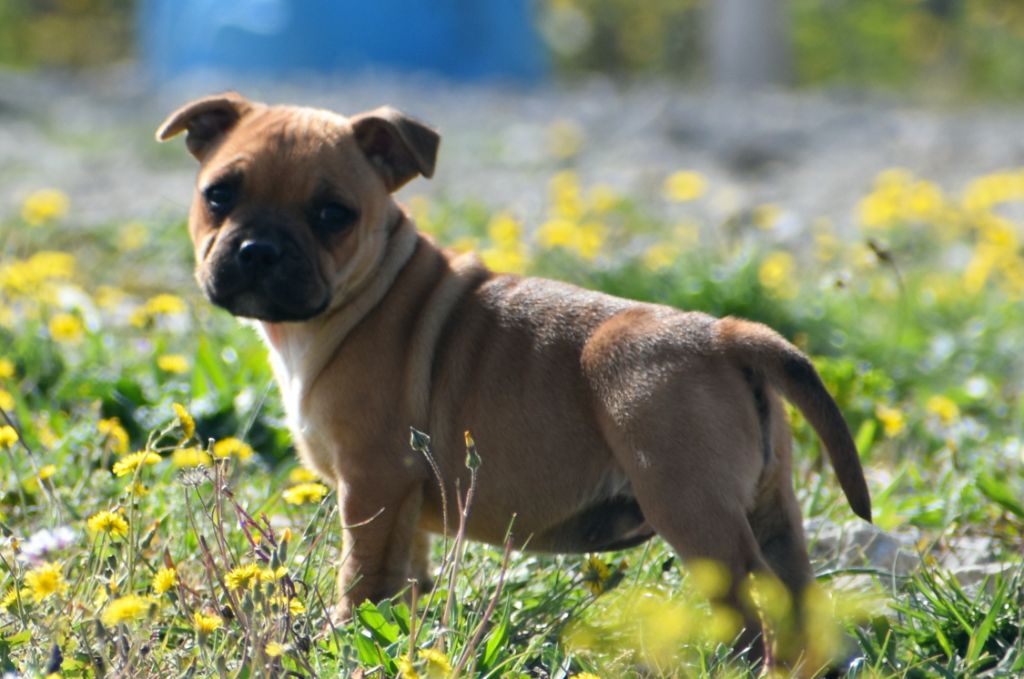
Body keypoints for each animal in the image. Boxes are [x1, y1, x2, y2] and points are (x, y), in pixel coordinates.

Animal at [155, 93, 868, 667]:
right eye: (219, 194)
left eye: (333, 214)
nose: (258, 251)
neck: (362, 294)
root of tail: (722, 334)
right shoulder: (403, 503)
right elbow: (402, 580)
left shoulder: (372, 485)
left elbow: (359, 575)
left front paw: (340, 635)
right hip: (773, 511)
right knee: (799, 597)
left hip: (693, 509)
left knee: (760, 604)